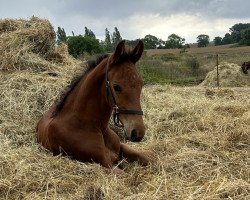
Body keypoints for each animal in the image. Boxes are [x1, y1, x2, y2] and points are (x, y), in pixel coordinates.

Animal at [36, 40, 151, 169]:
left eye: (141, 84)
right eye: (116, 87)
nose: (138, 133)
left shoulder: (121, 147)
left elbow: (147, 159)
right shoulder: (106, 165)